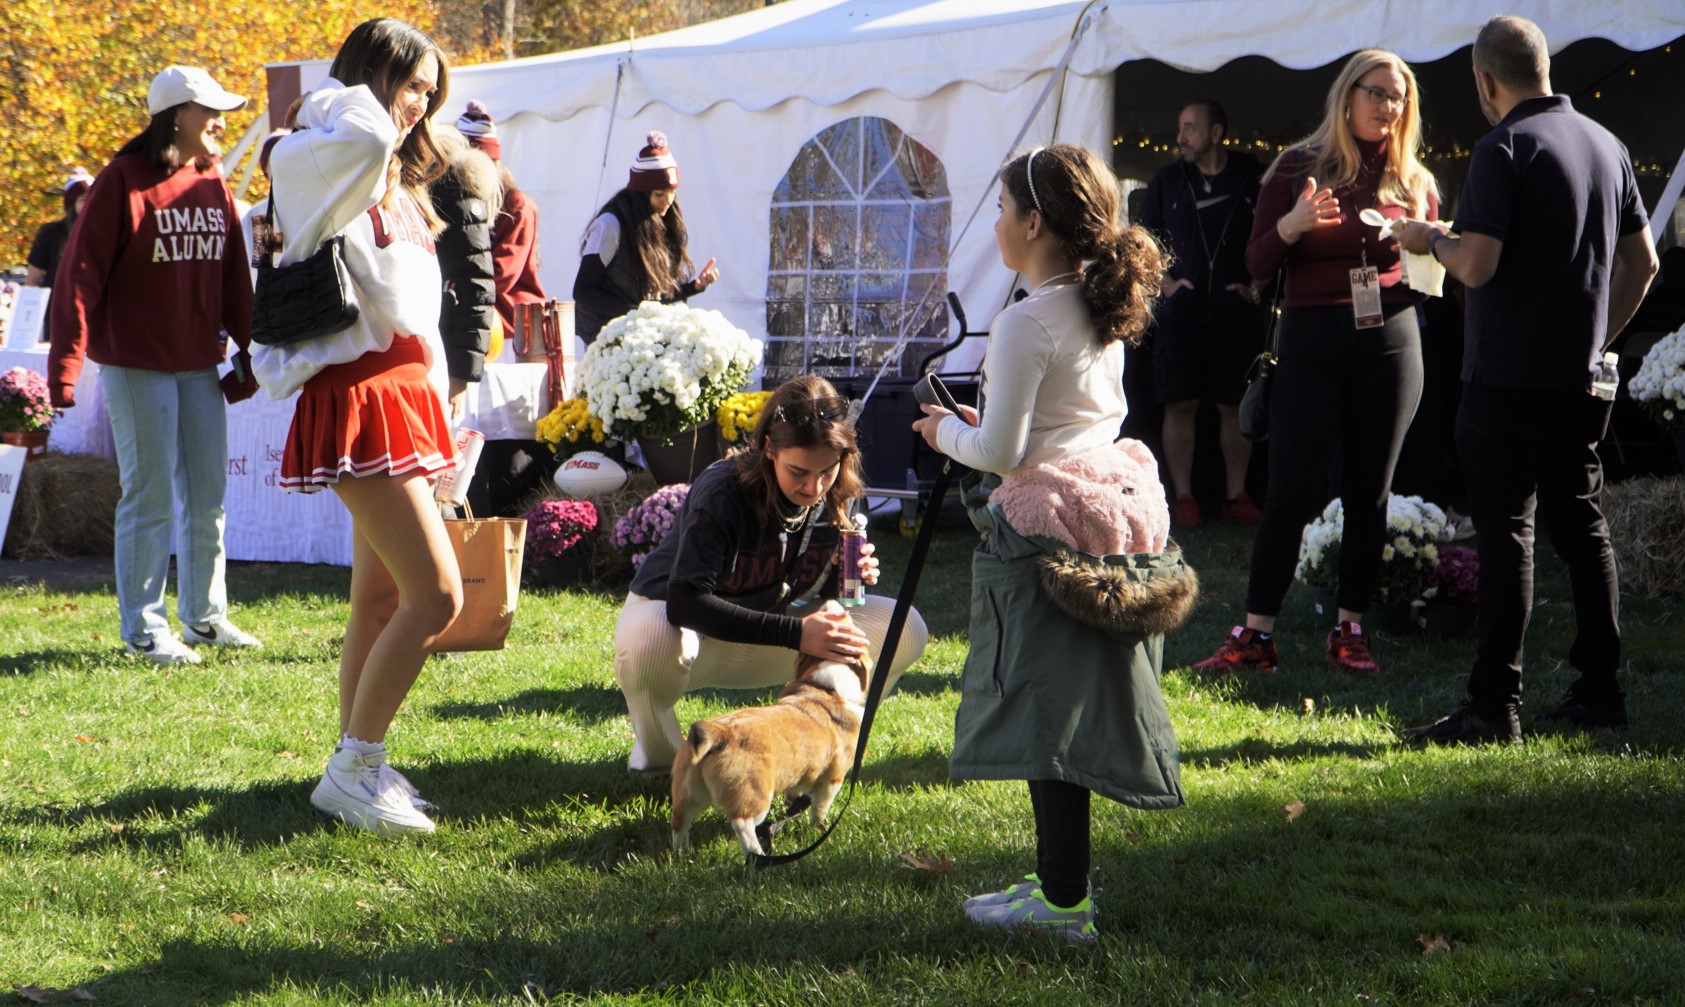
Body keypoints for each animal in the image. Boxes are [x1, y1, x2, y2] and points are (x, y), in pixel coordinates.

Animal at [670, 610, 873, 857]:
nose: (841, 610)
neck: (825, 686)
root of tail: (717, 732)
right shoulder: (833, 778)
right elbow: (820, 807)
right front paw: (818, 828)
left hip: (688, 792)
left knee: (680, 822)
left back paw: (682, 854)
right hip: (756, 796)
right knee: (742, 824)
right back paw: (756, 854)